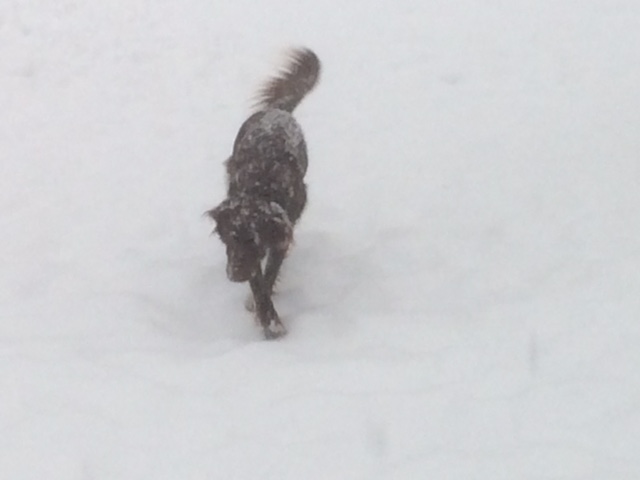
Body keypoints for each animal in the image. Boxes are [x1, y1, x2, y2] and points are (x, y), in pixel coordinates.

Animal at [207, 48, 320, 339]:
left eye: (253, 241)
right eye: (229, 239)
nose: (234, 276)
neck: (261, 186)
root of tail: (276, 110)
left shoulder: (280, 236)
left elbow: (268, 275)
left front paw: (269, 320)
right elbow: (258, 281)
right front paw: (268, 318)